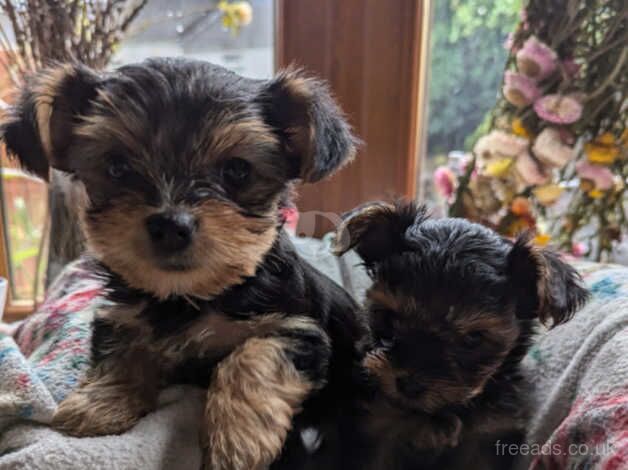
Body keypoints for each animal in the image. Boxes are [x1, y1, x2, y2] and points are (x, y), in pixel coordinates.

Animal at [1, 59, 368, 470]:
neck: (190, 295)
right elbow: (119, 346)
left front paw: (236, 442)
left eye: (237, 170)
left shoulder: (299, 328)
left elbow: (252, 356)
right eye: (116, 166)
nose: (170, 225)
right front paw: (98, 403)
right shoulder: (121, 314)